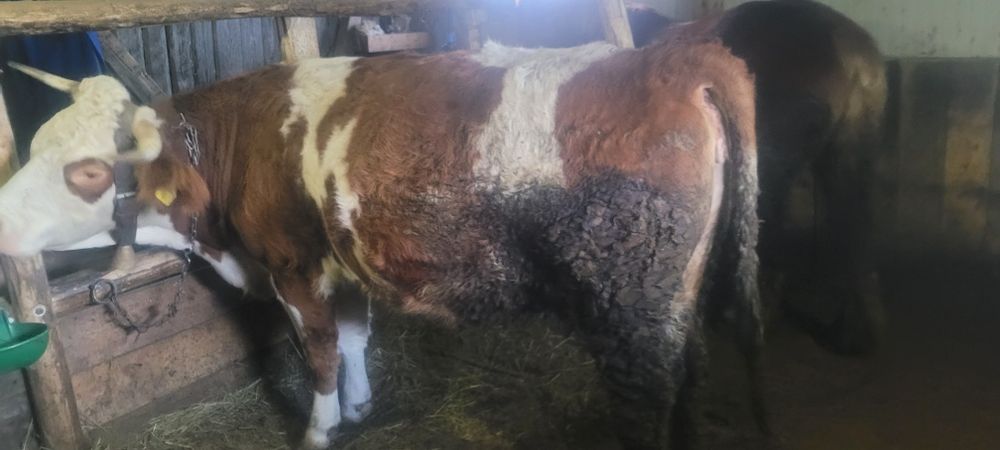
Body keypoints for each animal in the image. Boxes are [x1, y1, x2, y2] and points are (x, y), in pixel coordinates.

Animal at [0, 37, 761, 449]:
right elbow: (356, 337)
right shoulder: (345, 261)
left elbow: (319, 351)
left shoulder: (294, 265)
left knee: (648, 402)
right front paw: (362, 406)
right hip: (673, 302)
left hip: (630, 305)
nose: (4, 218)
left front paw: (320, 427)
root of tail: (677, 58)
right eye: (34, 144)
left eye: (90, 171)